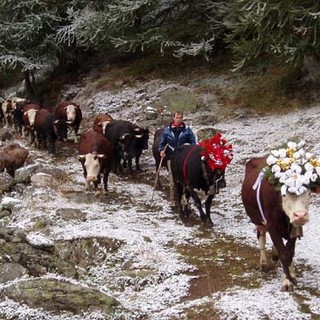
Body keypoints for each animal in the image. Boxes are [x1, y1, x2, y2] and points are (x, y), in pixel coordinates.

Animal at [240, 156, 312, 292]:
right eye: (284, 194)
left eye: (308, 193)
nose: (300, 215)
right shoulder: (272, 227)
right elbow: (284, 254)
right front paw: (287, 282)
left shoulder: (294, 229)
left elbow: (289, 252)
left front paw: (291, 276)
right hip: (258, 222)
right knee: (261, 239)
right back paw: (263, 263)